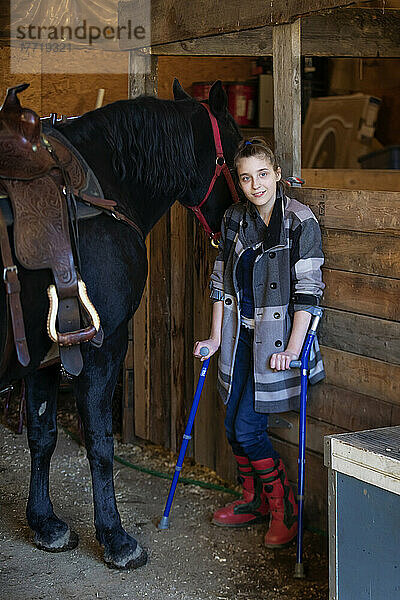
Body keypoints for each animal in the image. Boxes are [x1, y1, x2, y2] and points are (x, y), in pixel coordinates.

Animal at [0, 79, 241, 568]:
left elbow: (42, 434)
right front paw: (115, 537)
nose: (244, 213)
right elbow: (100, 443)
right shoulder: (103, 346)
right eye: (240, 144)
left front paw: (46, 524)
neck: (105, 189)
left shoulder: (42, 356)